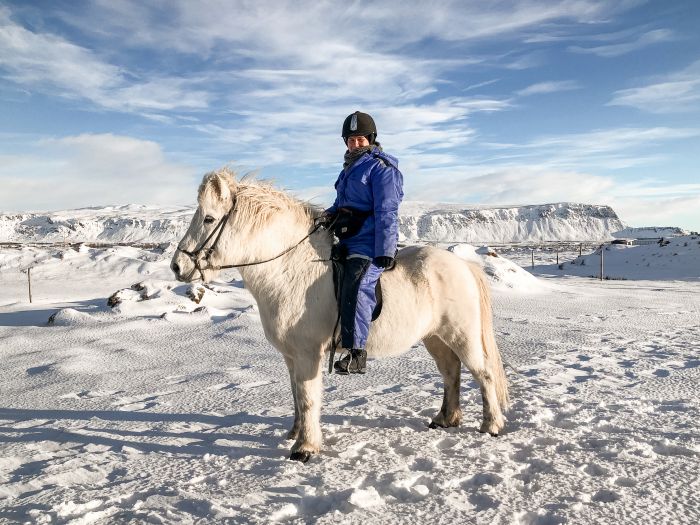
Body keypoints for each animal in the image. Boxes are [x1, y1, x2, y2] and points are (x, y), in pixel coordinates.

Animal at [170, 170, 508, 460]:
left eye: (209, 218)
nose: (176, 266)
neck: (290, 269)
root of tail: (463, 265)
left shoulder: (308, 354)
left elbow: (308, 397)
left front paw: (305, 448)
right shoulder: (292, 356)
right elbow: (296, 394)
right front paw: (295, 434)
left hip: (461, 334)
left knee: (483, 373)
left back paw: (491, 425)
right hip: (434, 337)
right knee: (450, 372)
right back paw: (445, 418)